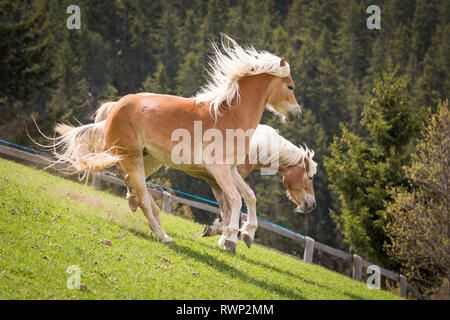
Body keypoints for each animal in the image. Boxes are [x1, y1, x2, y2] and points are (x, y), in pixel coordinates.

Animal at [47, 35, 300, 254]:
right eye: (290, 87)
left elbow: (250, 196)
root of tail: (115, 108)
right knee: (140, 194)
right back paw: (163, 235)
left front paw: (246, 234)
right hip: (132, 158)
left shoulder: (230, 170)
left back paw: (145, 210)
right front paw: (229, 239)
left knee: (132, 185)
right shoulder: (218, 171)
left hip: (149, 160)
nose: (296, 113)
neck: (231, 116)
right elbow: (235, 200)